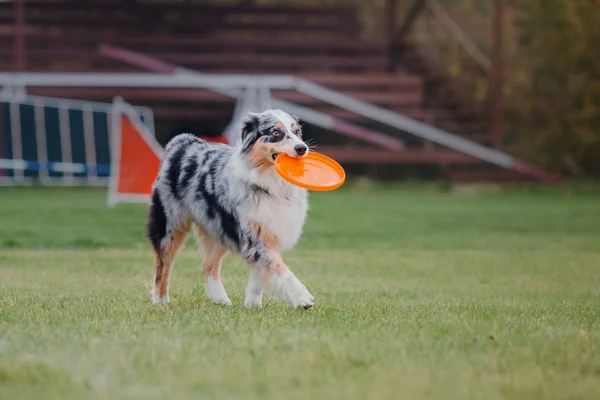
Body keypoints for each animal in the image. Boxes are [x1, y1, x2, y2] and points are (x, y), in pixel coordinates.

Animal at [145, 108, 314, 310]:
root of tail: (182, 142)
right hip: (170, 224)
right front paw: (302, 298)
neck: (270, 184)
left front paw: (252, 305)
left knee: (208, 265)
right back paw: (160, 300)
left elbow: (259, 274)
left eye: (297, 132)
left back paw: (221, 299)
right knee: (163, 264)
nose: (302, 148)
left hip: (219, 228)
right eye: (275, 133)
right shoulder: (255, 237)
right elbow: (281, 270)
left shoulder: (267, 233)